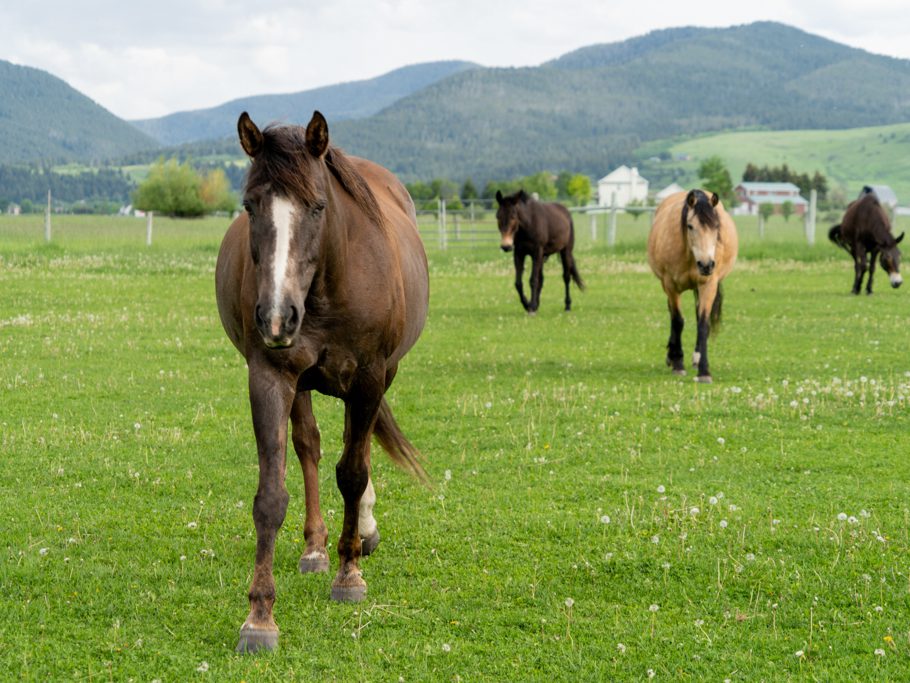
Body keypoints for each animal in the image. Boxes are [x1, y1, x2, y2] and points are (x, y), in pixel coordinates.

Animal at [216, 111, 430, 652]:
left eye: (317, 206)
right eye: (249, 205)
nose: (276, 317)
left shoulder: (370, 377)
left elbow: (353, 472)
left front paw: (349, 575)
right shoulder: (271, 376)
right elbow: (271, 496)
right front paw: (260, 616)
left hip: (378, 378)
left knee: (358, 448)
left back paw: (360, 534)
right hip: (302, 384)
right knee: (308, 446)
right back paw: (314, 547)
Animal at [648, 191, 740, 384]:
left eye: (716, 226)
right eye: (690, 226)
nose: (706, 265)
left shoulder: (708, 285)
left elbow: (703, 324)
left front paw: (704, 371)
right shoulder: (671, 285)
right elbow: (677, 320)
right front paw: (677, 362)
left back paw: (696, 358)